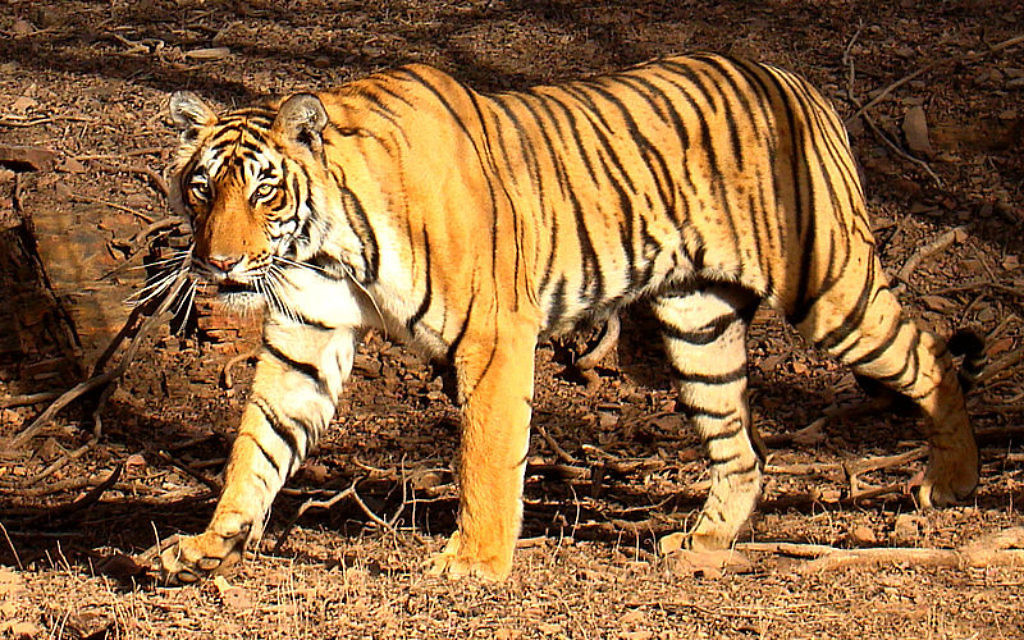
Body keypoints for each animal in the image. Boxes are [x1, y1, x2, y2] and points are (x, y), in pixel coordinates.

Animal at [154, 53, 983, 584]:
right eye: (202, 188)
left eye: (263, 191)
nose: (219, 264)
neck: (327, 246)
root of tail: (797, 82)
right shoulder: (308, 334)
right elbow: (256, 447)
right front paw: (207, 546)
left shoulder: (492, 334)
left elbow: (486, 455)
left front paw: (474, 564)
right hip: (699, 323)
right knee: (742, 451)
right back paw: (704, 540)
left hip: (828, 286)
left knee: (930, 356)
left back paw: (954, 482)